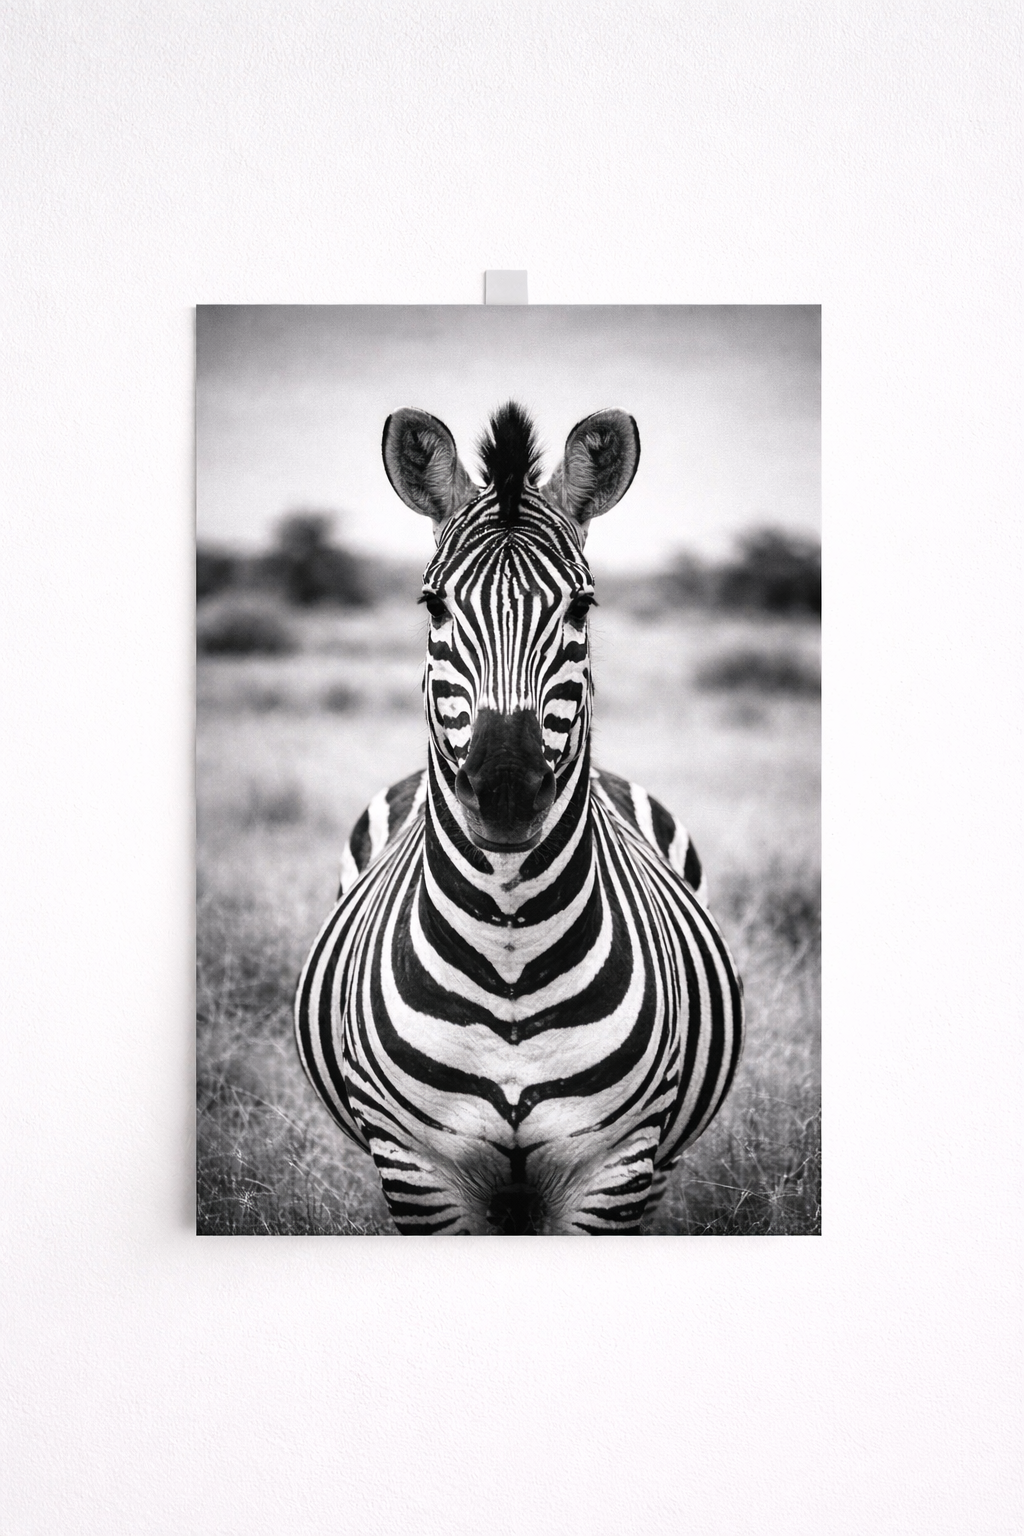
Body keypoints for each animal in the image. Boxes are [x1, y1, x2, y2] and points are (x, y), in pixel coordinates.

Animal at [295, 402, 743, 1234]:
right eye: (433, 604)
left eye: (582, 605)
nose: (505, 792)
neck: (509, 951)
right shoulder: (416, 1170)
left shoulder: (617, 1167)